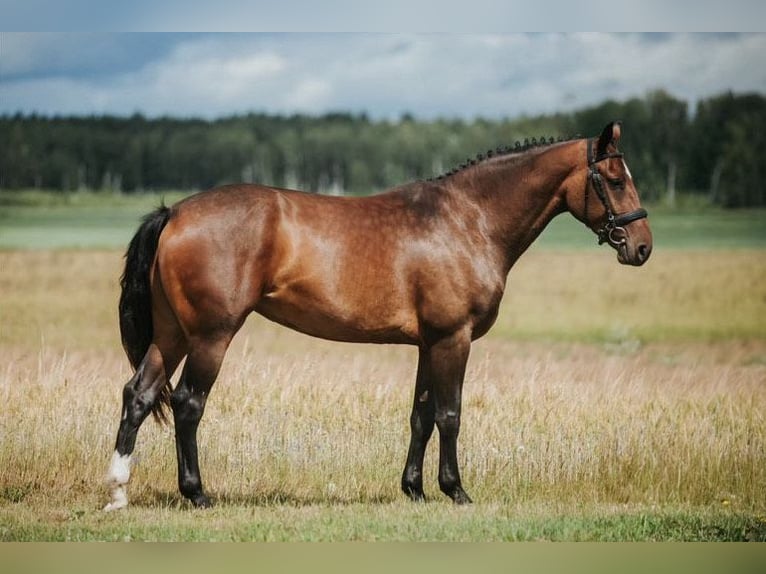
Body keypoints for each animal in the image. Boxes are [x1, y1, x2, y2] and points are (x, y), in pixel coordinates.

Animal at [103, 121, 656, 512]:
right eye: (613, 179)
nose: (642, 247)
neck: (468, 220)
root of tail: (174, 212)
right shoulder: (454, 339)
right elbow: (450, 415)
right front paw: (456, 490)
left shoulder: (429, 343)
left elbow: (421, 415)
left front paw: (414, 489)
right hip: (210, 337)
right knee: (188, 404)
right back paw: (196, 493)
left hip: (172, 335)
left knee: (139, 395)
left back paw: (118, 490)